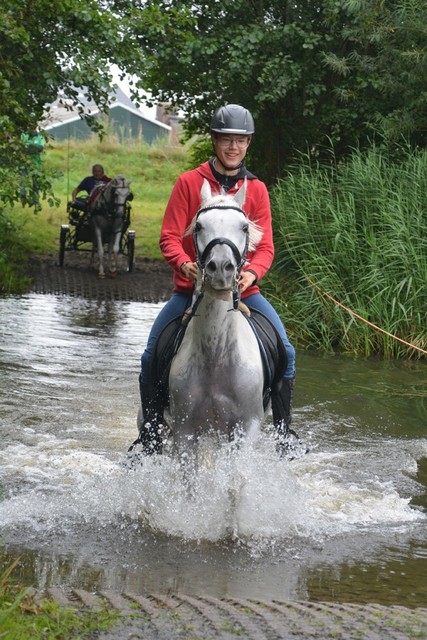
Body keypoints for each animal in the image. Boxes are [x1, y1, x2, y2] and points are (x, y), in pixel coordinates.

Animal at [168, 180, 266, 458]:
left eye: (244, 227)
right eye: (199, 226)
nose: (221, 267)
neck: (216, 356)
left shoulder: (247, 427)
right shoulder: (184, 431)